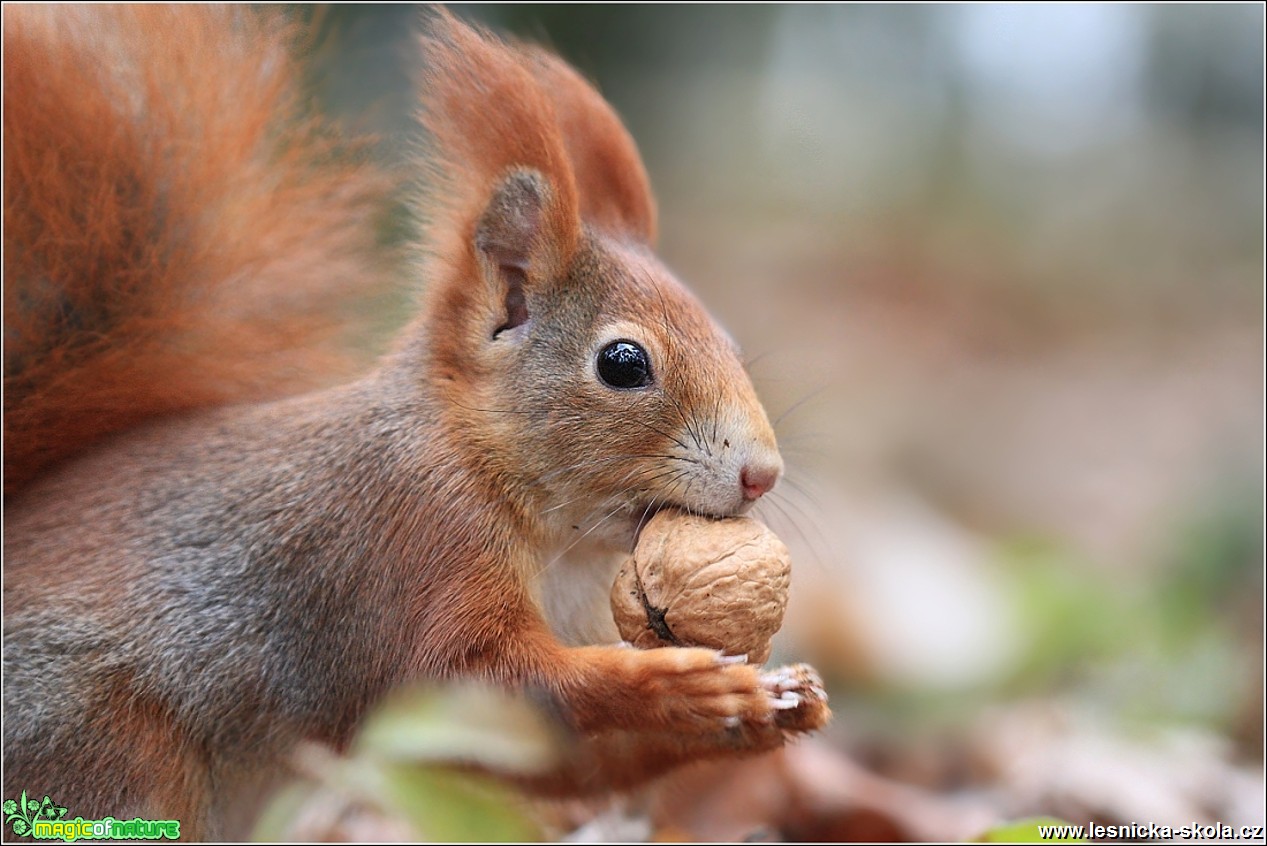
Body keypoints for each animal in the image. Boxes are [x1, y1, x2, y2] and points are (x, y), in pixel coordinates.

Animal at [2, 4, 821, 840]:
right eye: (623, 363)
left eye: (728, 338)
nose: (762, 474)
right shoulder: (417, 542)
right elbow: (471, 677)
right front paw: (681, 684)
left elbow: (559, 761)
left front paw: (774, 703)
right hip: (104, 743)